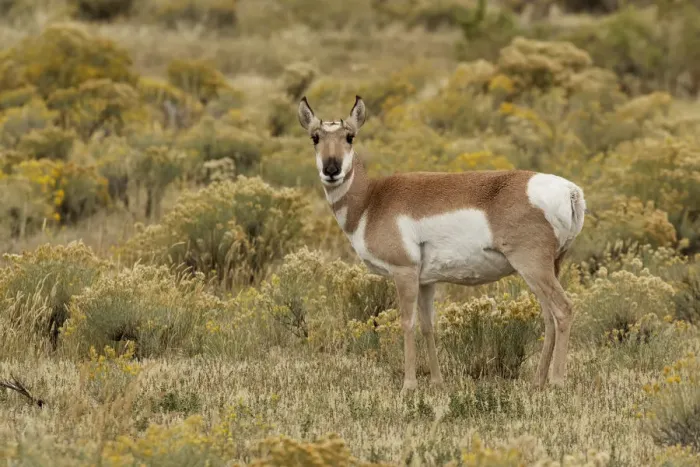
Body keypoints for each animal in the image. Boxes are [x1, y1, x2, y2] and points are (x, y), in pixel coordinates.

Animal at [298, 96, 586, 391]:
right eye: (315, 137)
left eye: (350, 136)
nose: (331, 169)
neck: (372, 200)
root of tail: (570, 190)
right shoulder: (427, 281)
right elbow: (428, 326)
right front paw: (437, 382)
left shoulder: (404, 272)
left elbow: (407, 323)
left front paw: (409, 385)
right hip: (547, 268)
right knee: (549, 317)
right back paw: (537, 382)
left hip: (533, 267)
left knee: (563, 310)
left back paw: (557, 382)